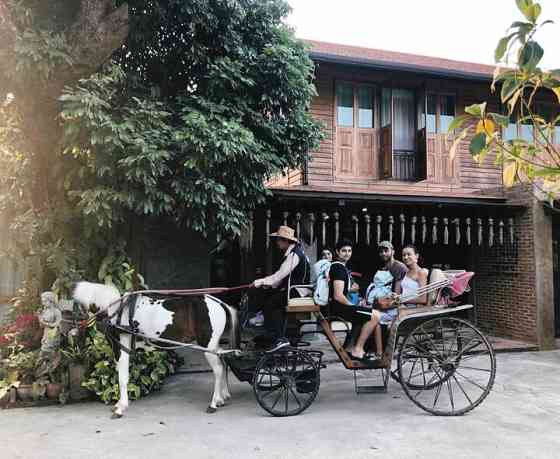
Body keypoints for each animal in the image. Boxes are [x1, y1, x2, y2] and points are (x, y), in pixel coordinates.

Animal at [74, 282, 238, 418]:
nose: (73, 334)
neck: (116, 309)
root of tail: (220, 303)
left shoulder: (123, 347)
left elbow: (122, 378)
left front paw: (121, 408)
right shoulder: (117, 349)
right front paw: (119, 404)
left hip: (207, 346)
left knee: (218, 370)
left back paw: (213, 404)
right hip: (214, 346)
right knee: (224, 362)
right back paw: (222, 398)